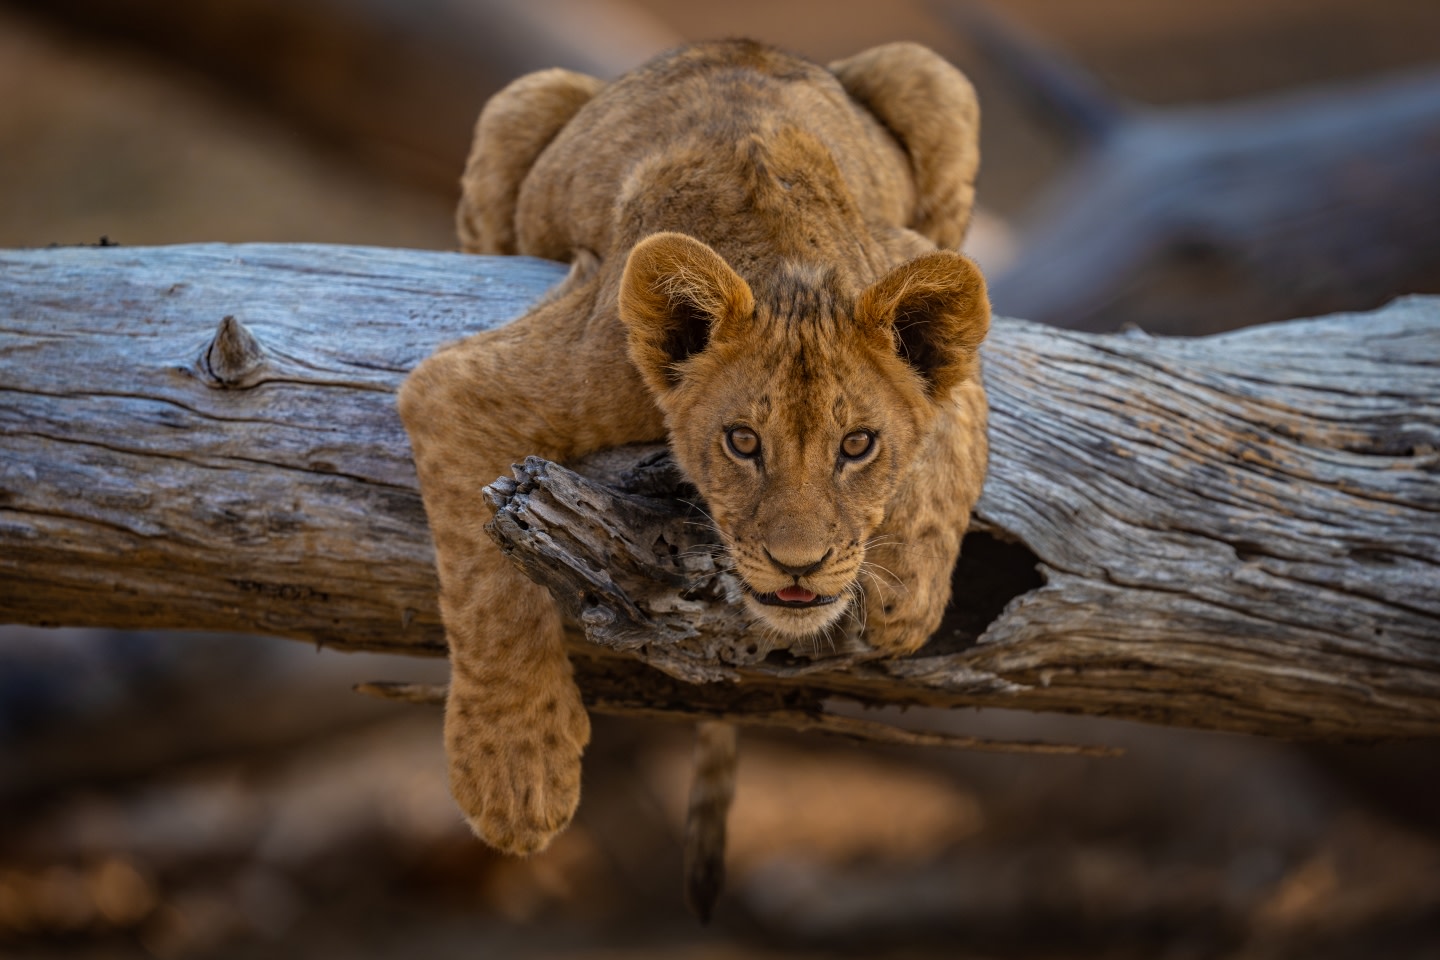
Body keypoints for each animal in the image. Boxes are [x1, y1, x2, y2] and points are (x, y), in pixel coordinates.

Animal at [397, 38, 989, 899]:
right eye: (742, 443)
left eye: (858, 446)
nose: (801, 565)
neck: (790, 267)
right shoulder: (472, 388)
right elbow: (488, 588)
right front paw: (514, 774)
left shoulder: (922, 268)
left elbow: (962, 413)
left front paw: (907, 594)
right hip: (518, 106)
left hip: (929, 75)